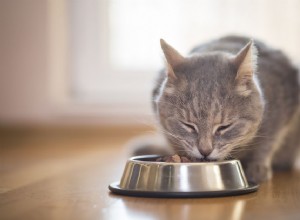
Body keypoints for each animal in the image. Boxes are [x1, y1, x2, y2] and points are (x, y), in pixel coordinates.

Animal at [138, 36, 300, 183]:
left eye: (224, 127)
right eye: (188, 126)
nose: (205, 151)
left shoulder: (280, 113)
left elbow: (267, 143)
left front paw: (257, 167)